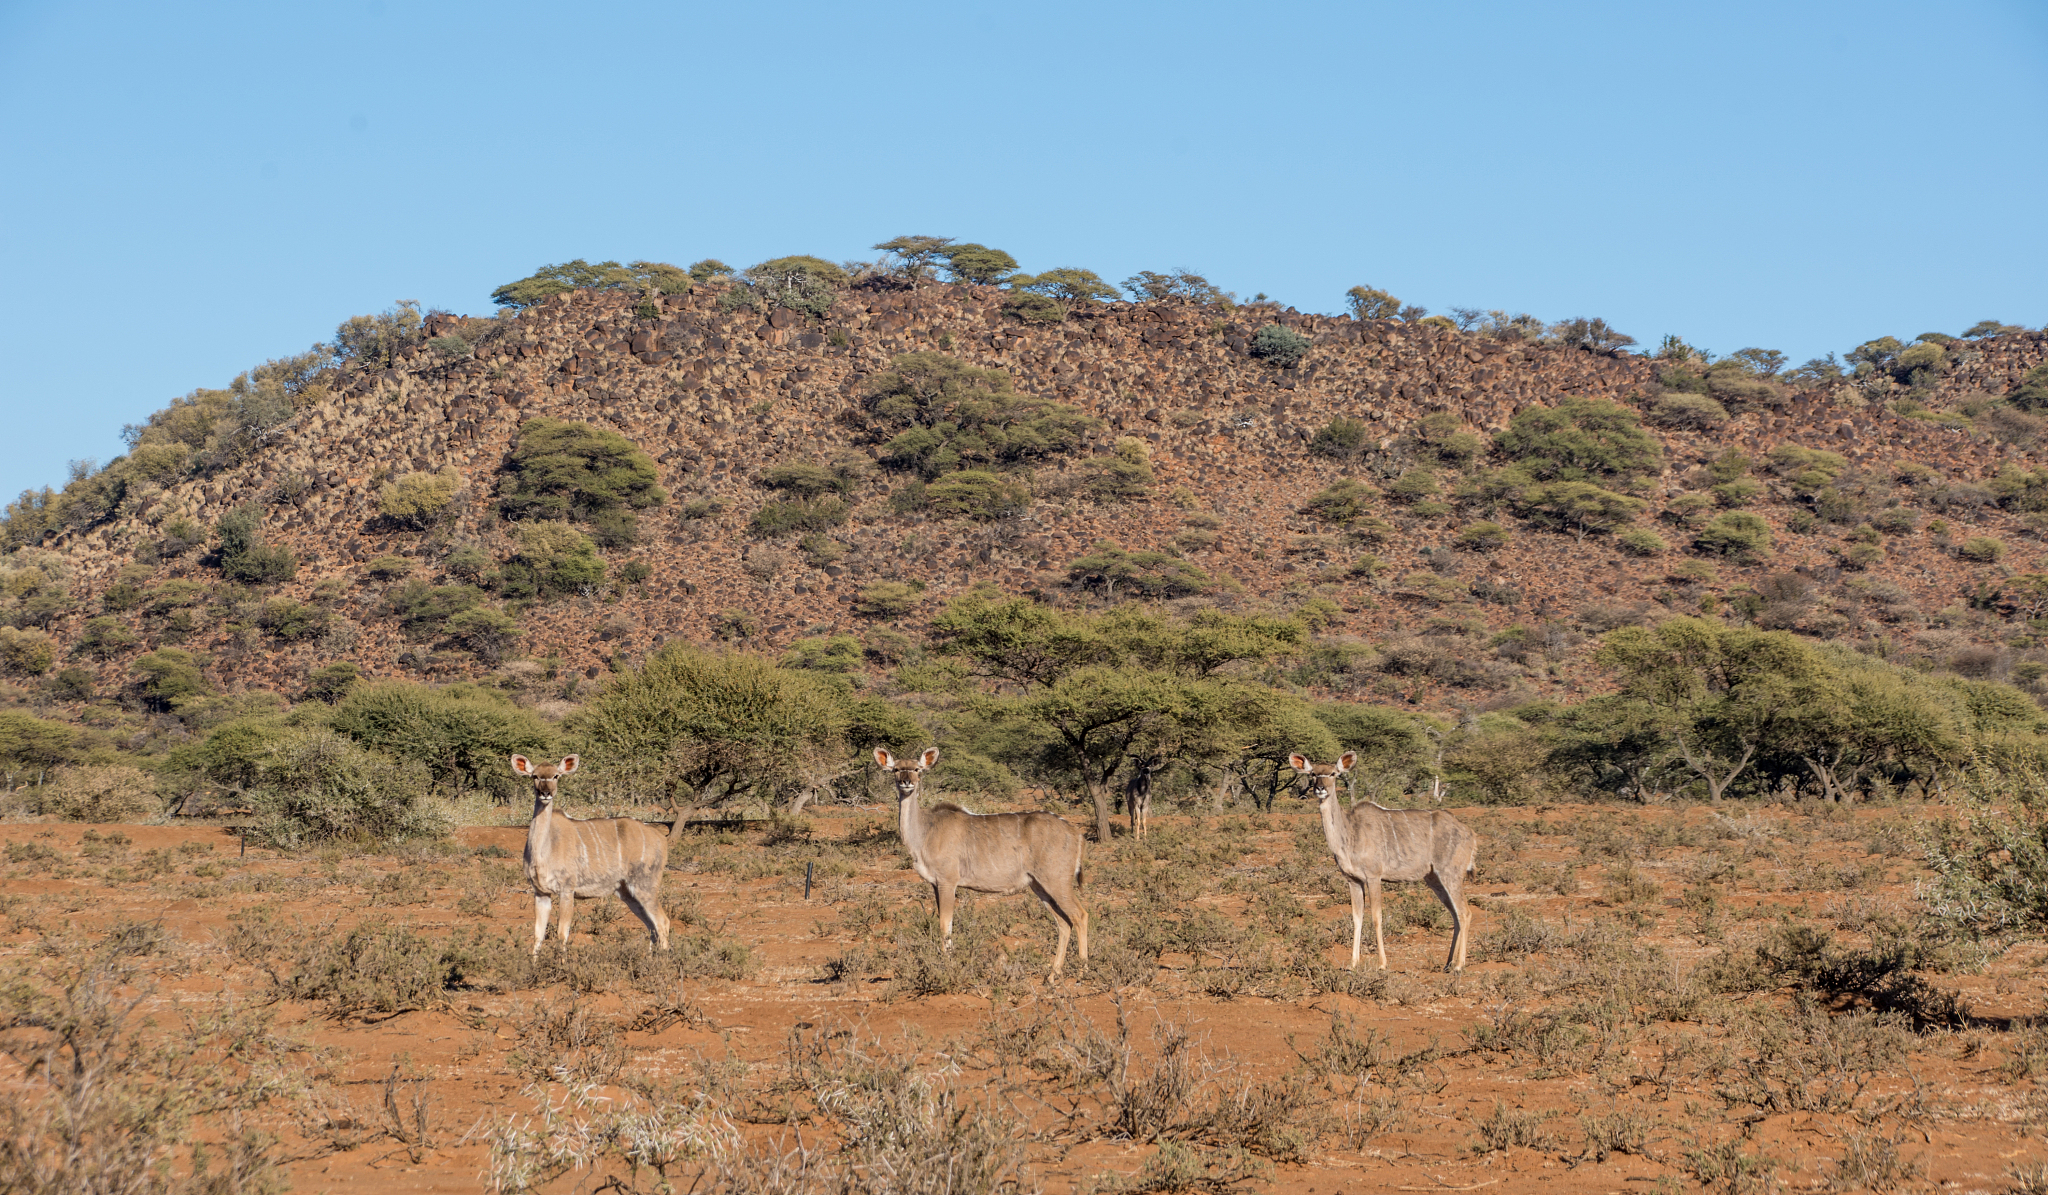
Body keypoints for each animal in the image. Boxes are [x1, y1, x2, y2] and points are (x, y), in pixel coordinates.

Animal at [514, 754, 679, 955]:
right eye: (535, 776)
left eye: (556, 776)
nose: (546, 793)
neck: (544, 851)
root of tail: (661, 838)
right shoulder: (540, 893)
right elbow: (538, 936)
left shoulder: (567, 890)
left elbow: (562, 935)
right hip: (627, 892)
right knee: (651, 926)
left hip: (645, 885)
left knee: (662, 922)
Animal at [876, 747, 1089, 979]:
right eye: (896, 769)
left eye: (917, 769)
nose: (906, 782)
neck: (926, 830)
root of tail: (1076, 833)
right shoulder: (935, 884)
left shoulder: (948, 881)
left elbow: (945, 926)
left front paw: (947, 966)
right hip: (1039, 886)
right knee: (1064, 922)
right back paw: (1052, 975)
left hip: (1057, 881)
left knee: (1080, 915)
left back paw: (1083, 970)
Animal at [1291, 751, 1478, 973]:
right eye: (1312, 773)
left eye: (1334, 773)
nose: (1320, 789)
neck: (1350, 833)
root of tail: (1470, 834)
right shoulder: (1353, 880)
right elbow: (1356, 918)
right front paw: (1353, 964)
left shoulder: (1374, 877)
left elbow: (1376, 917)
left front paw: (1381, 963)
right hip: (1434, 878)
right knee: (1455, 914)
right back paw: (1448, 963)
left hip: (1451, 873)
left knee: (1465, 913)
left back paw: (1459, 965)